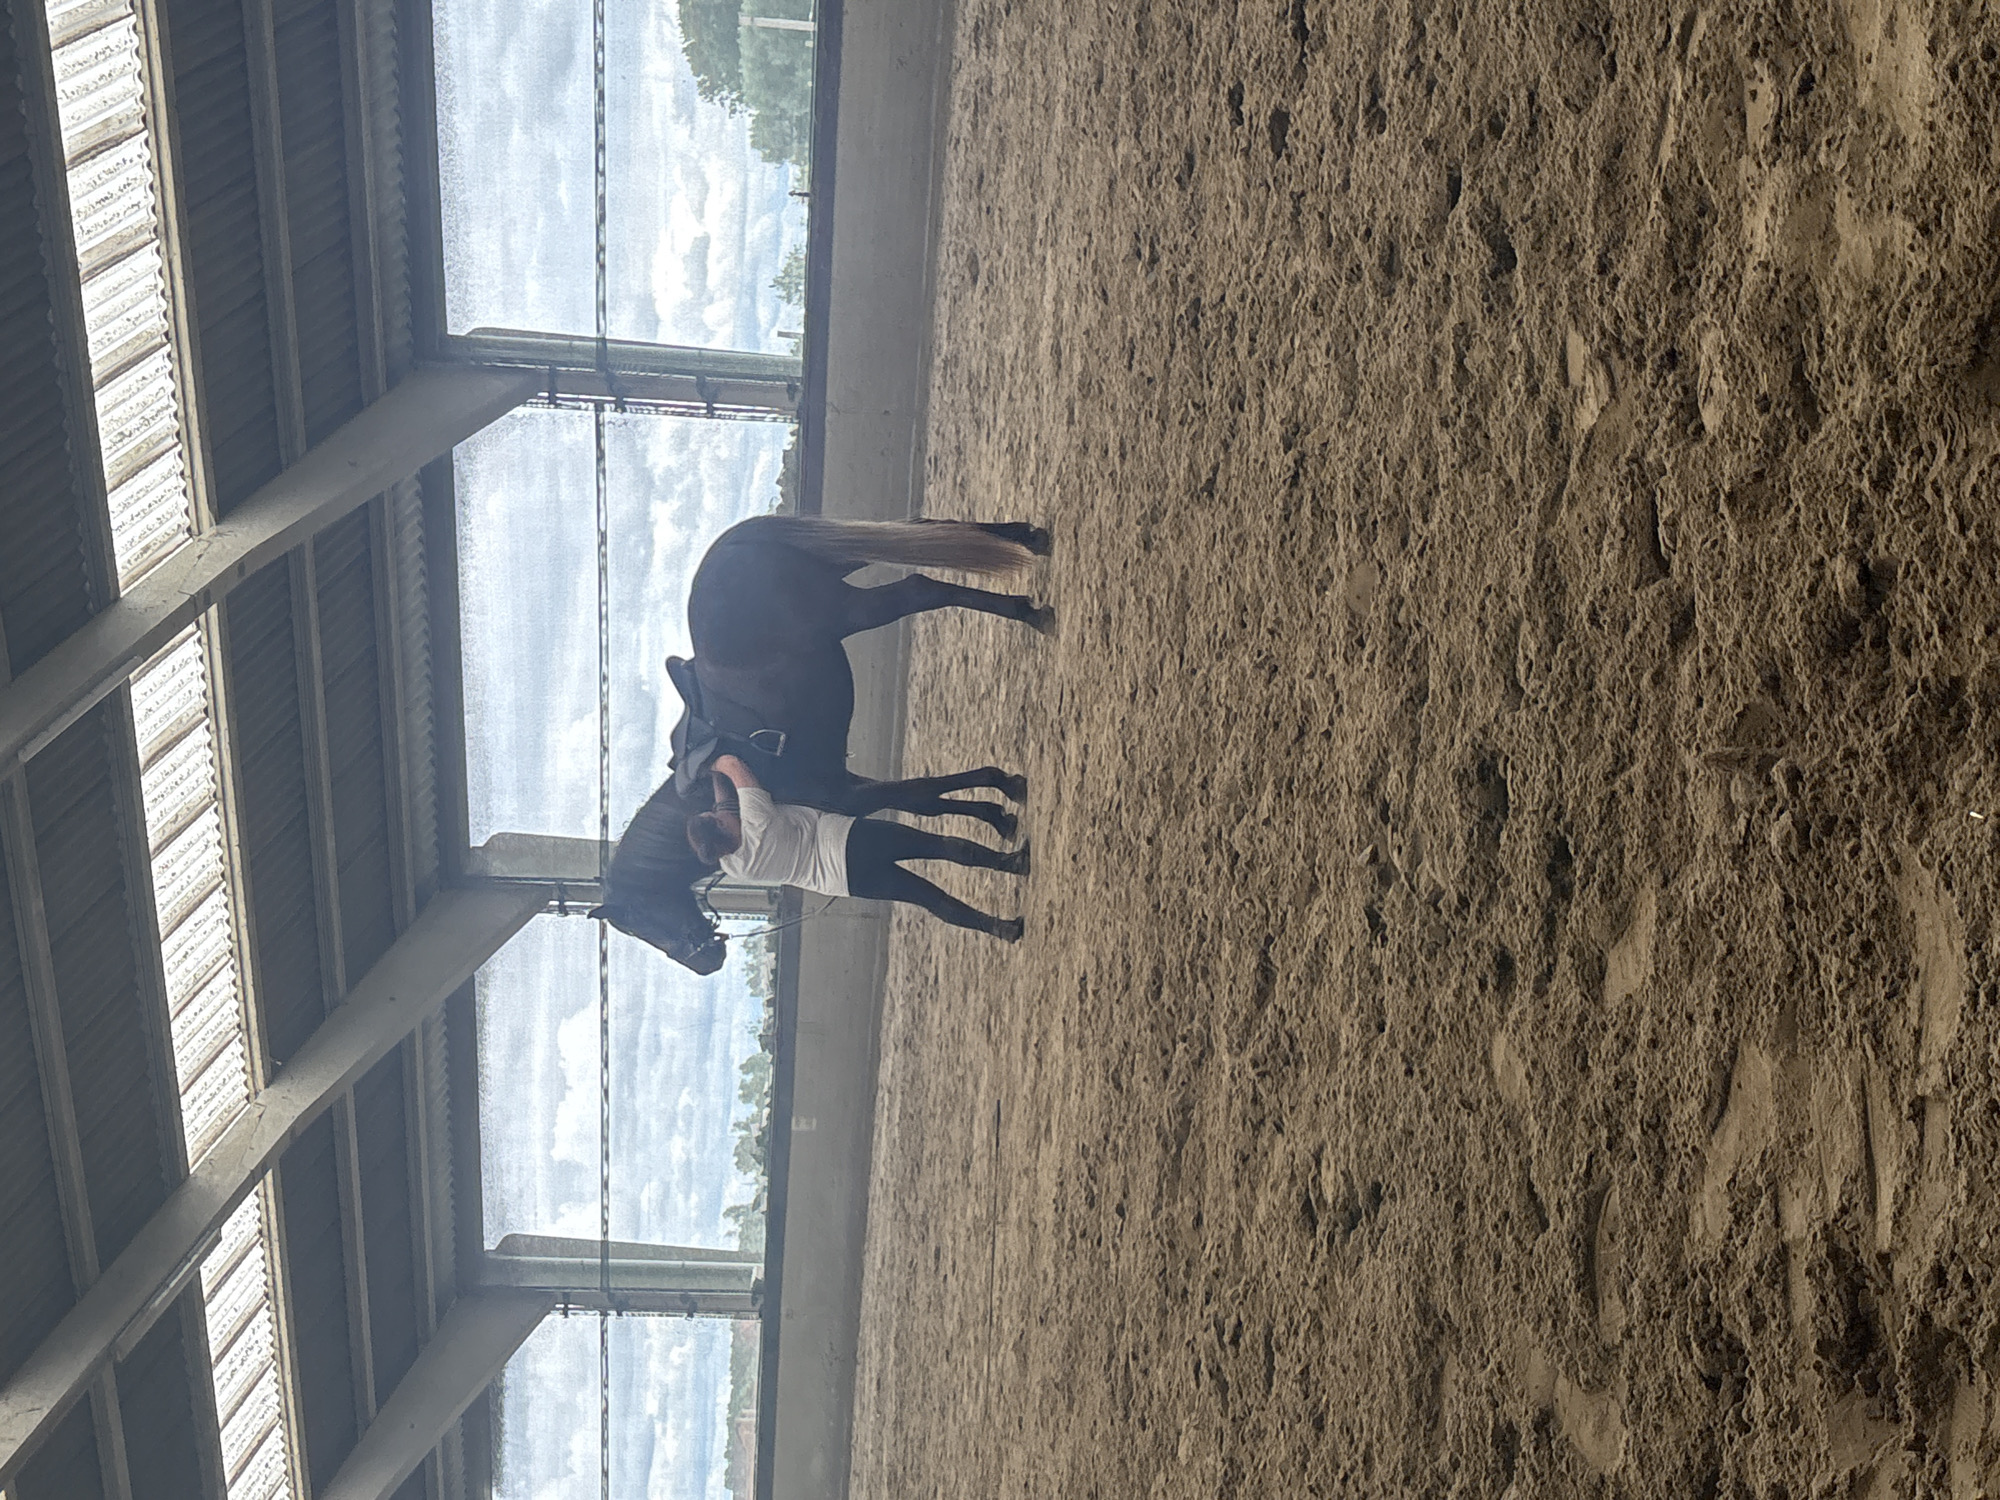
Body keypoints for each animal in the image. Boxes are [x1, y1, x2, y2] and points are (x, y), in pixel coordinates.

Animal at [592, 515, 1053, 973]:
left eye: (639, 922)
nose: (706, 962)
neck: (711, 789)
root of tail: (731, 546)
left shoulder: (846, 795)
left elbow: (923, 795)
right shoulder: (849, 787)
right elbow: (927, 800)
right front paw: (1000, 806)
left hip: (851, 608)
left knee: (922, 587)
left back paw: (1030, 612)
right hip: (847, 564)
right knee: (926, 528)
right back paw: (1028, 540)